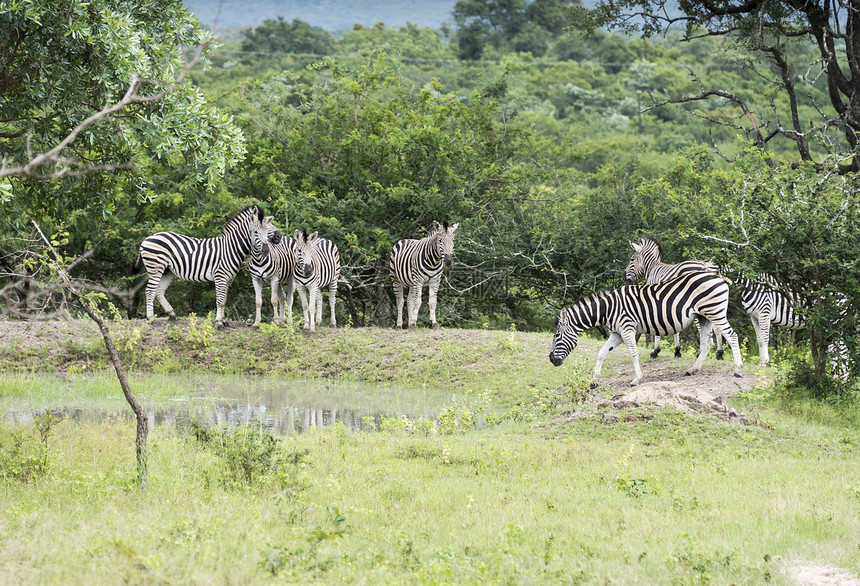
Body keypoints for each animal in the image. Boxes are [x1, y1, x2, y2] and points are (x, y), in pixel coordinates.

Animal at [135, 204, 276, 328]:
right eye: (256, 232)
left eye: (267, 232)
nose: (266, 251)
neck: (231, 248)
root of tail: (147, 239)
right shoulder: (220, 276)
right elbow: (220, 300)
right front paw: (219, 323)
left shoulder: (227, 278)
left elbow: (224, 300)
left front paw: (224, 321)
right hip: (156, 268)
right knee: (150, 291)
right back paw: (150, 319)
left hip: (167, 271)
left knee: (159, 291)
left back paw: (172, 314)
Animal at [552, 270, 744, 388]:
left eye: (557, 335)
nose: (551, 360)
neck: (608, 309)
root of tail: (719, 277)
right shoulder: (617, 333)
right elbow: (602, 353)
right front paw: (593, 381)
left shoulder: (627, 328)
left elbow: (633, 353)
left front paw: (636, 379)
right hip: (703, 316)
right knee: (706, 343)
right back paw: (693, 370)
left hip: (714, 312)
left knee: (732, 336)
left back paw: (738, 370)